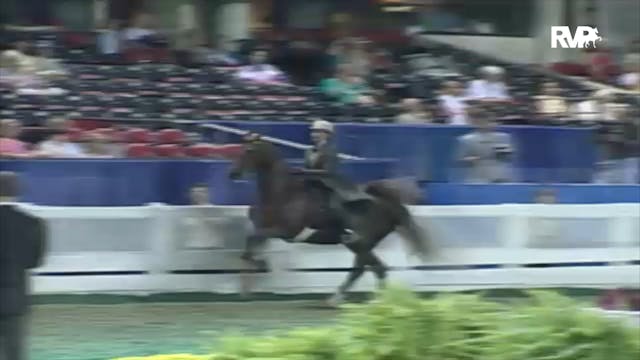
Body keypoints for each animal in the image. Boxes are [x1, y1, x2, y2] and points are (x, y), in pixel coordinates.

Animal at [228, 136, 432, 306]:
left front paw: (258, 269)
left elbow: (252, 246)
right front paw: (249, 281)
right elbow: (250, 245)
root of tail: (389, 205)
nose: (233, 174)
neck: (284, 194)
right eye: (239, 149)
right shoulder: (266, 229)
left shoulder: (286, 231)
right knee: (369, 269)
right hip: (360, 245)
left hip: (360, 243)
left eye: (249, 151)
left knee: (371, 269)